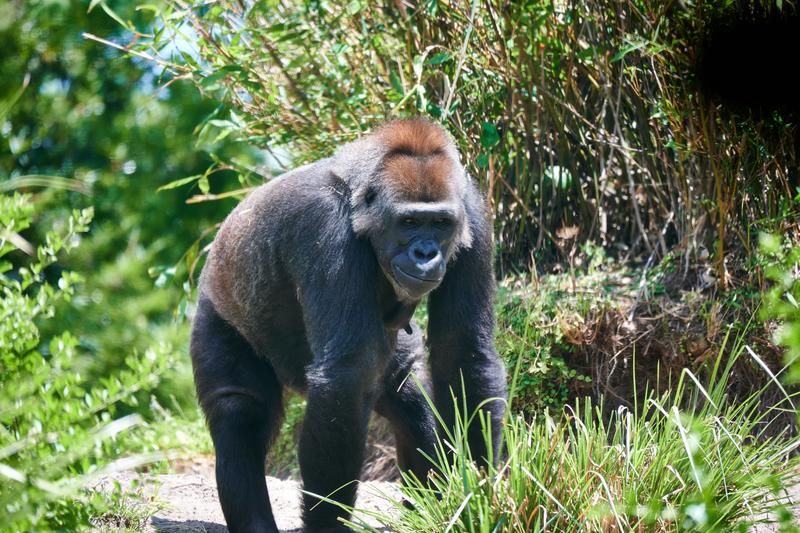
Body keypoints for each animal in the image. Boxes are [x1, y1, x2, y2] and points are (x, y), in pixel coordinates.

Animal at [189, 119, 506, 532]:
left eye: (440, 223)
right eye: (409, 222)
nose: (426, 253)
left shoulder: (473, 215)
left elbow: (462, 349)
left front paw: (478, 491)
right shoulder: (324, 227)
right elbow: (347, 375)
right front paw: (326, 522)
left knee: (409, 395)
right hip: (217, 311)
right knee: (239, 413)